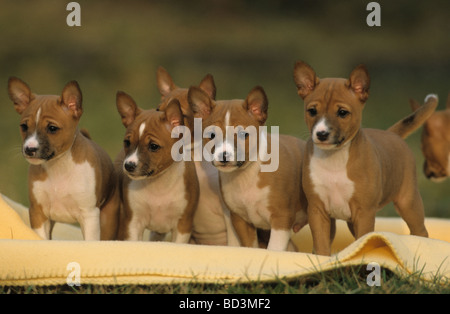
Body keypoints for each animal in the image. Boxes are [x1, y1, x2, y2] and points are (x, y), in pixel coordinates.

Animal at [9, 77, 121, 239]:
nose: (29, 149)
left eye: (52, 128)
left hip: (108, 220)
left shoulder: (89, 215)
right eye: (24, 126)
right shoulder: (38, 214)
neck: (58, 168)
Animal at [115, 93, 198, 243]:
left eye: (153, 146)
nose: (129, 165)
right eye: (127, 142)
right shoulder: (133, 223)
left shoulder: (182, 226)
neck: (158, 184)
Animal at [187, 84, 310, 251]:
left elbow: (274, 250)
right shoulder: (241, 221)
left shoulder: (281, 220)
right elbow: (251, 248)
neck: (247, 174)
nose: (223, 155)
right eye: (211, 135)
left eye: (242, 134)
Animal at [292, 60, 436, 255]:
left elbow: (364, 240)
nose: (321, 134)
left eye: (342, 112)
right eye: (312, 111)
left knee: (420, 231)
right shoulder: (318, 210)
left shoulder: (364, 213)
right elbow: (322, 246)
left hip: (408, 202)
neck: (334, 159)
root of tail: (392, 134)